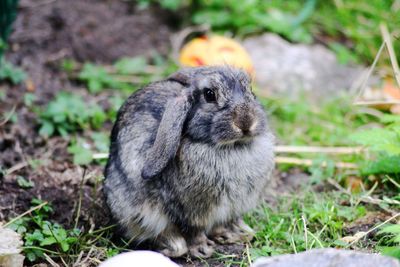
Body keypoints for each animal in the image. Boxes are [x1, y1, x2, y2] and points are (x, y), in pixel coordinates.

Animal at [103, 65, 276, 260]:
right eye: (209, 94)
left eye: (251, 89)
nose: (246, 121)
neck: (232, 147)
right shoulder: (188, 213)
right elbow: (193, 232)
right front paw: (202, 250)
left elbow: (221, 224)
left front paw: (233, 235)